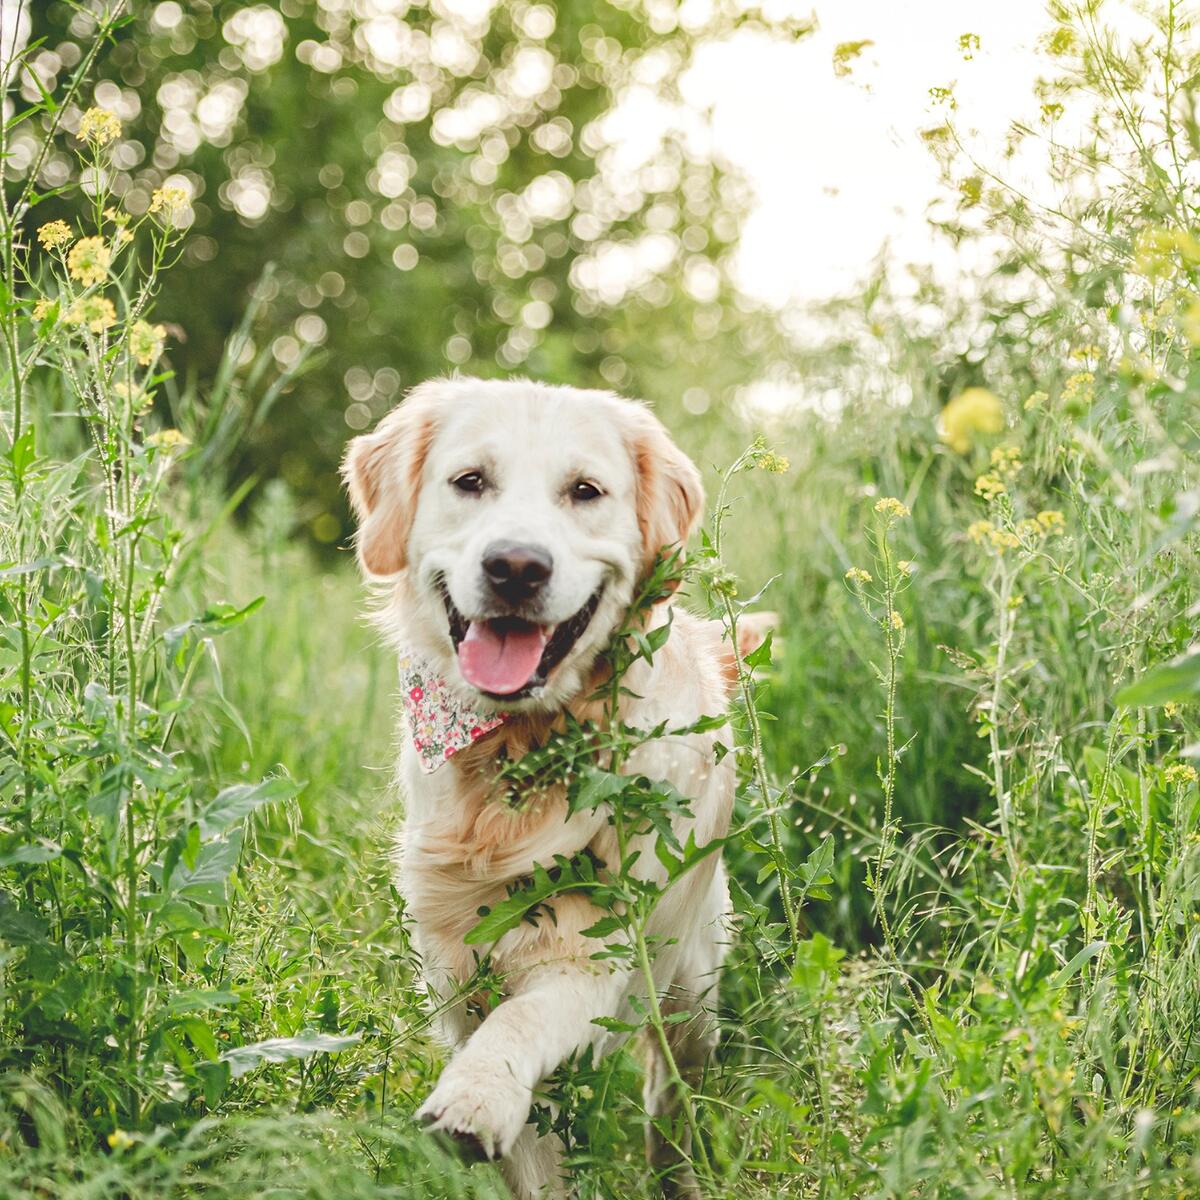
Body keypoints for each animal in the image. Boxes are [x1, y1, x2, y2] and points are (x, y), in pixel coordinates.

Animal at [340, 379, 758, 1200]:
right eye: (470, 481)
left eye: (585, 491)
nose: (516, 566)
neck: (521, 747)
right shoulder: (451, 969)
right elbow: (532, 1149)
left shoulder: (595, 951)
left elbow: (524, 1022)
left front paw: (475, 1098)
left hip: (692, 993)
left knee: (674, 1101)